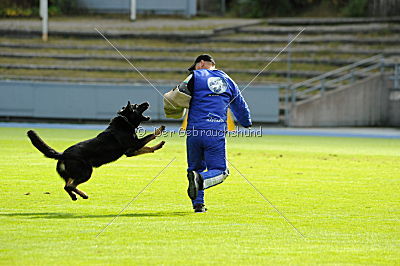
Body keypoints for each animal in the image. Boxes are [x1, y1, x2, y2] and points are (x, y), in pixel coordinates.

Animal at [27, 101, 164, 201]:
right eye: (136, 106)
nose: (147, 102)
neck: (125, 121)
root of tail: (63, 155)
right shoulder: (134, 145)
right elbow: (149, 136)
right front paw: (160, 129)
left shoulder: (130, 151)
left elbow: (147, 148)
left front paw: (157, 146)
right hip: (87, 172)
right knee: (70, 185)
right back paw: (83, 194)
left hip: (73, 174)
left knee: (66, 186)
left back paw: (75, 196)